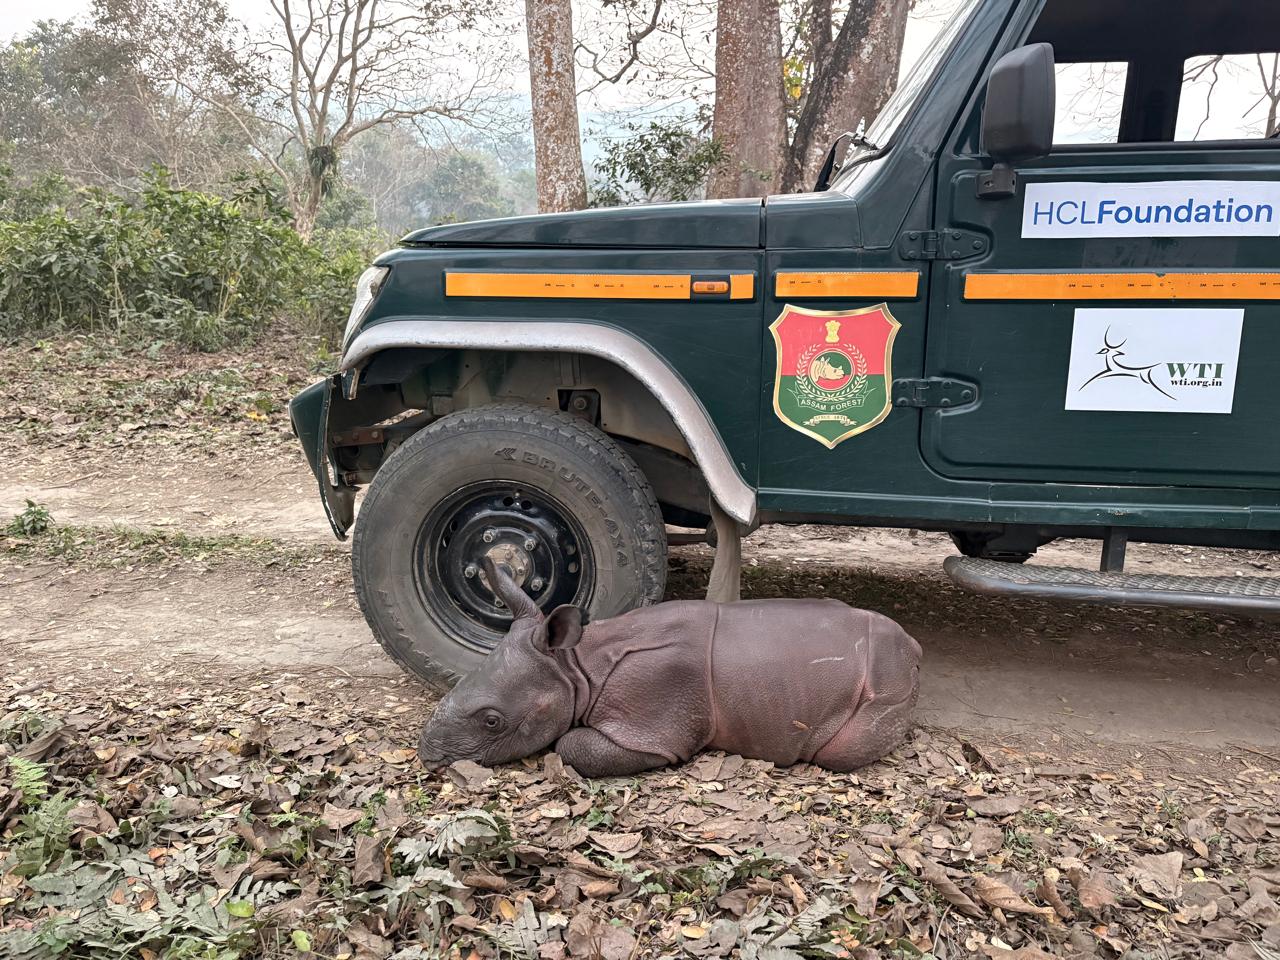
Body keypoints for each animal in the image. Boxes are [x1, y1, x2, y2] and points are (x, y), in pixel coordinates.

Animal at [417, 559, 922, 778]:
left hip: (886, 678)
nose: (428, 756)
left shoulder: (655, 721)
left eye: (492, 721)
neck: (575, 666)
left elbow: (571, 745)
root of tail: (912, 645)